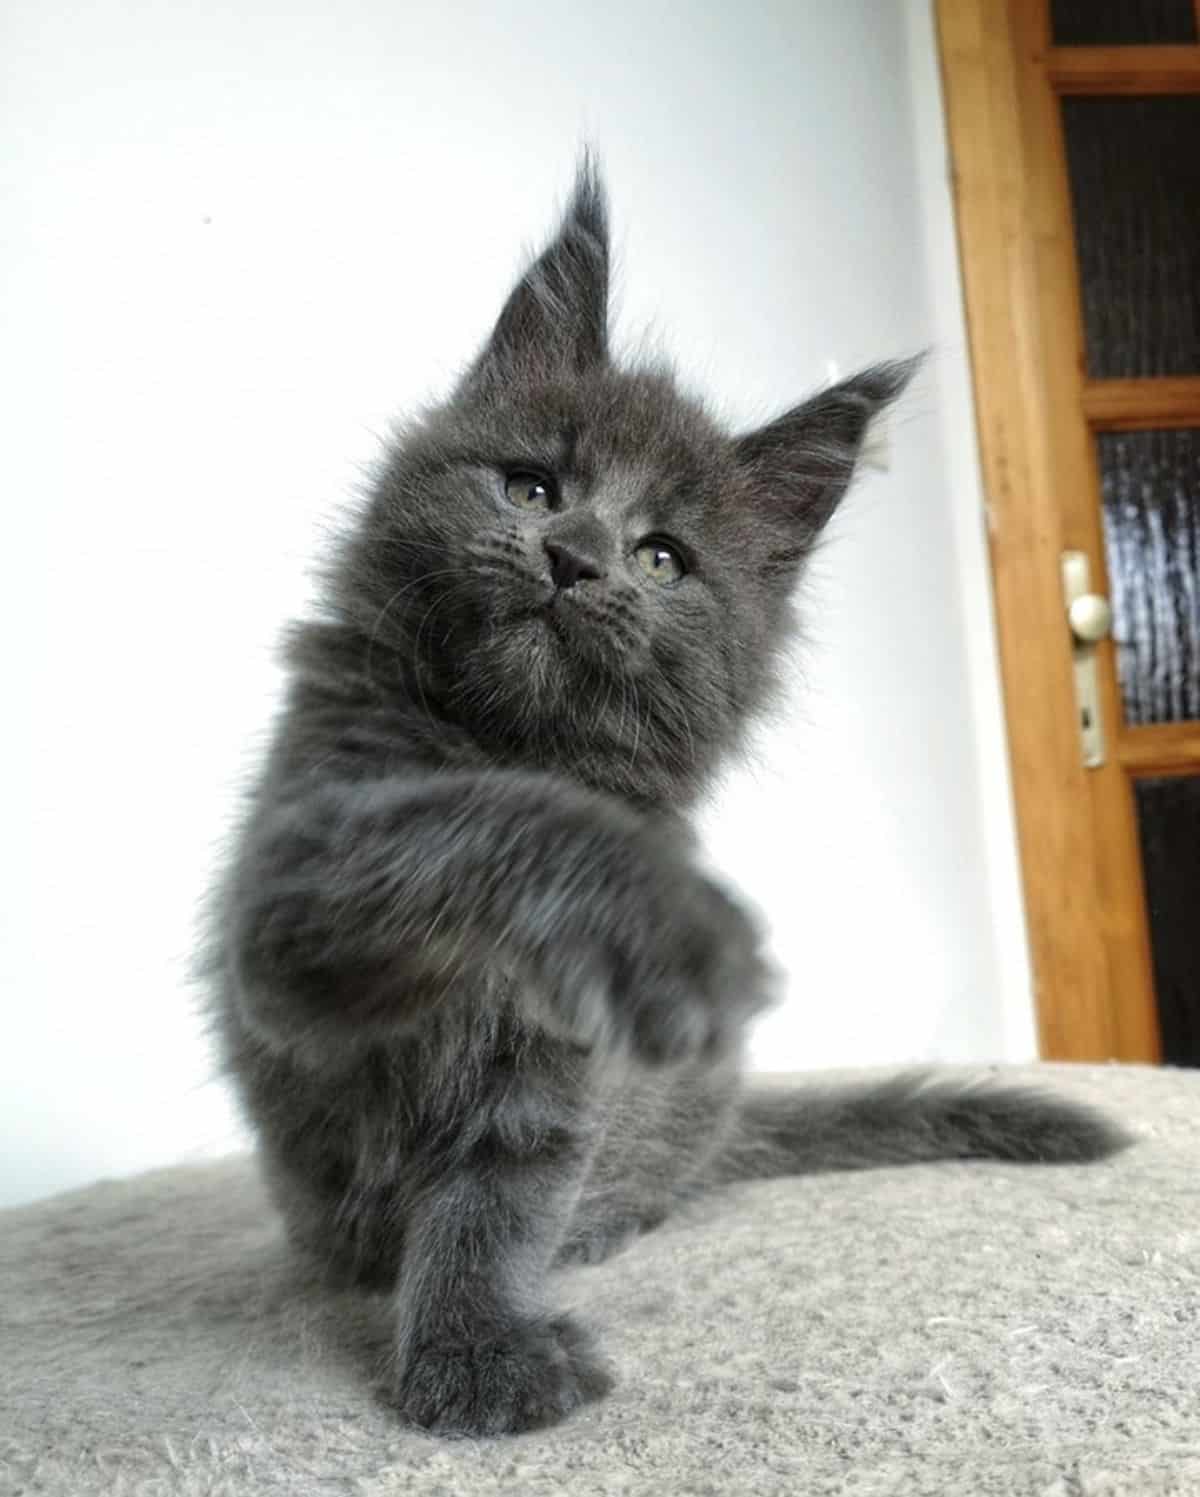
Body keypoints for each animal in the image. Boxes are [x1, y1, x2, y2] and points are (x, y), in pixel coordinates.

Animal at [207, 163, 1131, 1437]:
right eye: (532, 485)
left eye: (661, 560)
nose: (573, 558)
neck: (510, 740)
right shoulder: (292, 907)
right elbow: (473, 825)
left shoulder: (552, 1068)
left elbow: (503, 1195)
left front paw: (477, 1349)